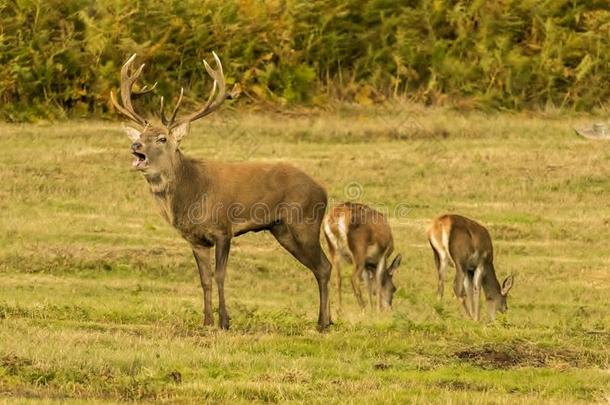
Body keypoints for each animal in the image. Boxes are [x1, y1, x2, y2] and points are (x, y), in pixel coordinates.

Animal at [111, 53, 334, 330]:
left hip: (305, 222)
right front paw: (207, 321)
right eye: (141, 134)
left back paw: (322, 324)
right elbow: (204, 279)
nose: (135, 145)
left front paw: (225, 321)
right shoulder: (195, 239)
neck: (192, 195)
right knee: (319, 267)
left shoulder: (223, 229)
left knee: (324, 266)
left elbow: (220, 275)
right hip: (282, 229)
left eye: (162, 138)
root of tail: (324, 191)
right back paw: (327, 320)